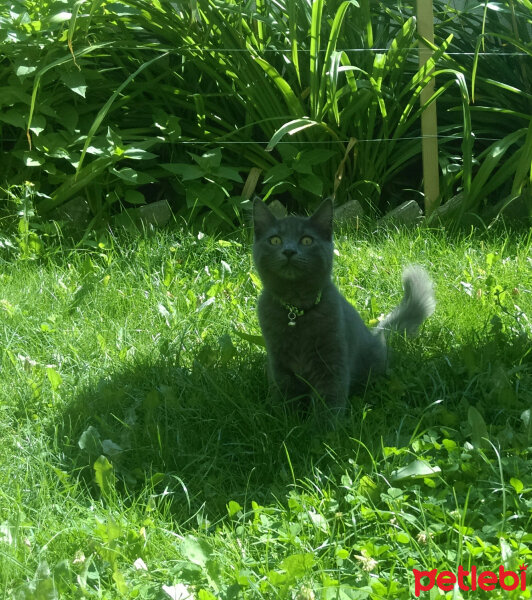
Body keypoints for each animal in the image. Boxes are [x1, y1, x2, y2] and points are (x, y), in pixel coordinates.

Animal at [254, 199, 436, 420]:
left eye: (306, 240)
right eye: (275, 240)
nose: (289, 251)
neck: (295, 311)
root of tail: (376, 334)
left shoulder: (332, 360)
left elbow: (329, 400)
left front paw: (325, 428)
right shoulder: (279, 363)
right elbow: (285, 396)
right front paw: (284, 420)